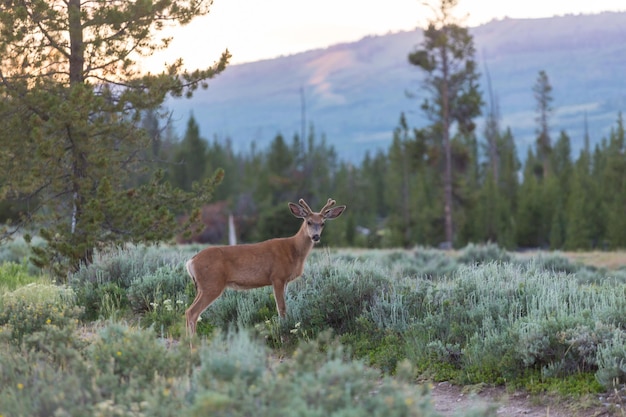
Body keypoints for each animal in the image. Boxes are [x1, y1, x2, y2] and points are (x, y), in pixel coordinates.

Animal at [184, 197, 346, 336]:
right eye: (309, 222)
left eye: (323, 223)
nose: (315, 237)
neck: (293, 250)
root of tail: (191, 261)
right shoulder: (277, 277)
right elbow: (281, 308)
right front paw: (283, 331)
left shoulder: (285, 280)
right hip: (213, 283)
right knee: (192, 312)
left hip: (202, 286)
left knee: (188, 311)